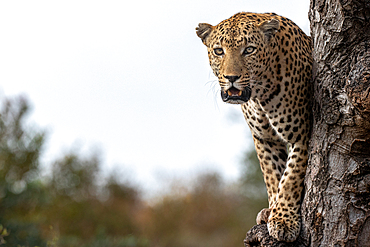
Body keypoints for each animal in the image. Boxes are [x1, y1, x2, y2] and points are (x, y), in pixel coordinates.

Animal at [197, 12, 312, 242]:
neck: (260, 94)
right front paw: (272, 210)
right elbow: (273, 174)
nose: (231, 78)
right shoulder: (264, 138)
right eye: (219, 51)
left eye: (249, 49)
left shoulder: (301, 132)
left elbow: (291, 176)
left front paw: (283, 221)